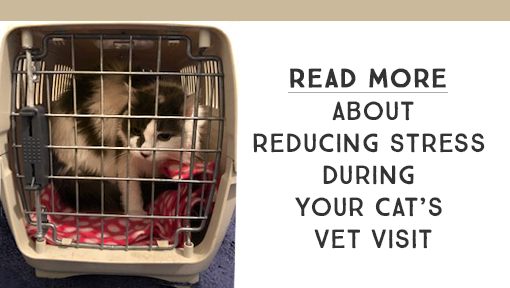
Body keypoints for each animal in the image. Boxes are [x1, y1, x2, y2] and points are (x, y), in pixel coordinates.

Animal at [50, 64, 205, 215]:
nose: (145, 153)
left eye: (164, 136)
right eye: (136, 130)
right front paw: (136, 214)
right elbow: (131, 190)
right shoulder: (125, 160)